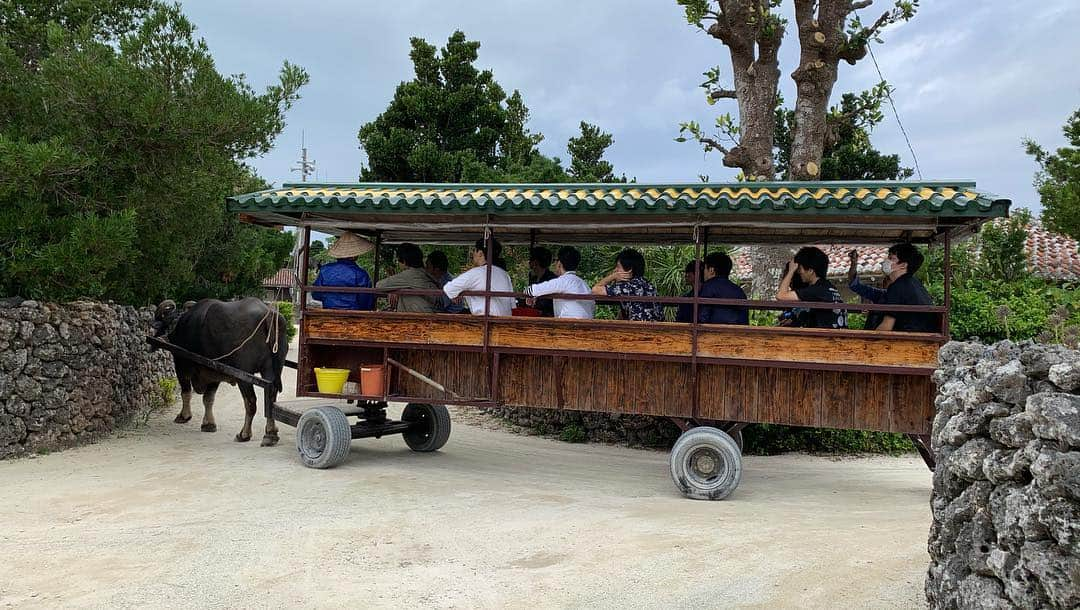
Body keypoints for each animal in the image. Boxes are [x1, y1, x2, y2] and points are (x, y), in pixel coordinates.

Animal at [152, 297, 289, 444]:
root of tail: (269, 314)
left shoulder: (182, 366)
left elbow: (186, 393)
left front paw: (184, 416)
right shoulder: (214, 372)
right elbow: (208, 398)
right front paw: (209, 424)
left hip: (244, 376)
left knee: (251, 402)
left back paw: (244, 434)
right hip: (270, 370)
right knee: (271, 398)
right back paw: (271, 433)